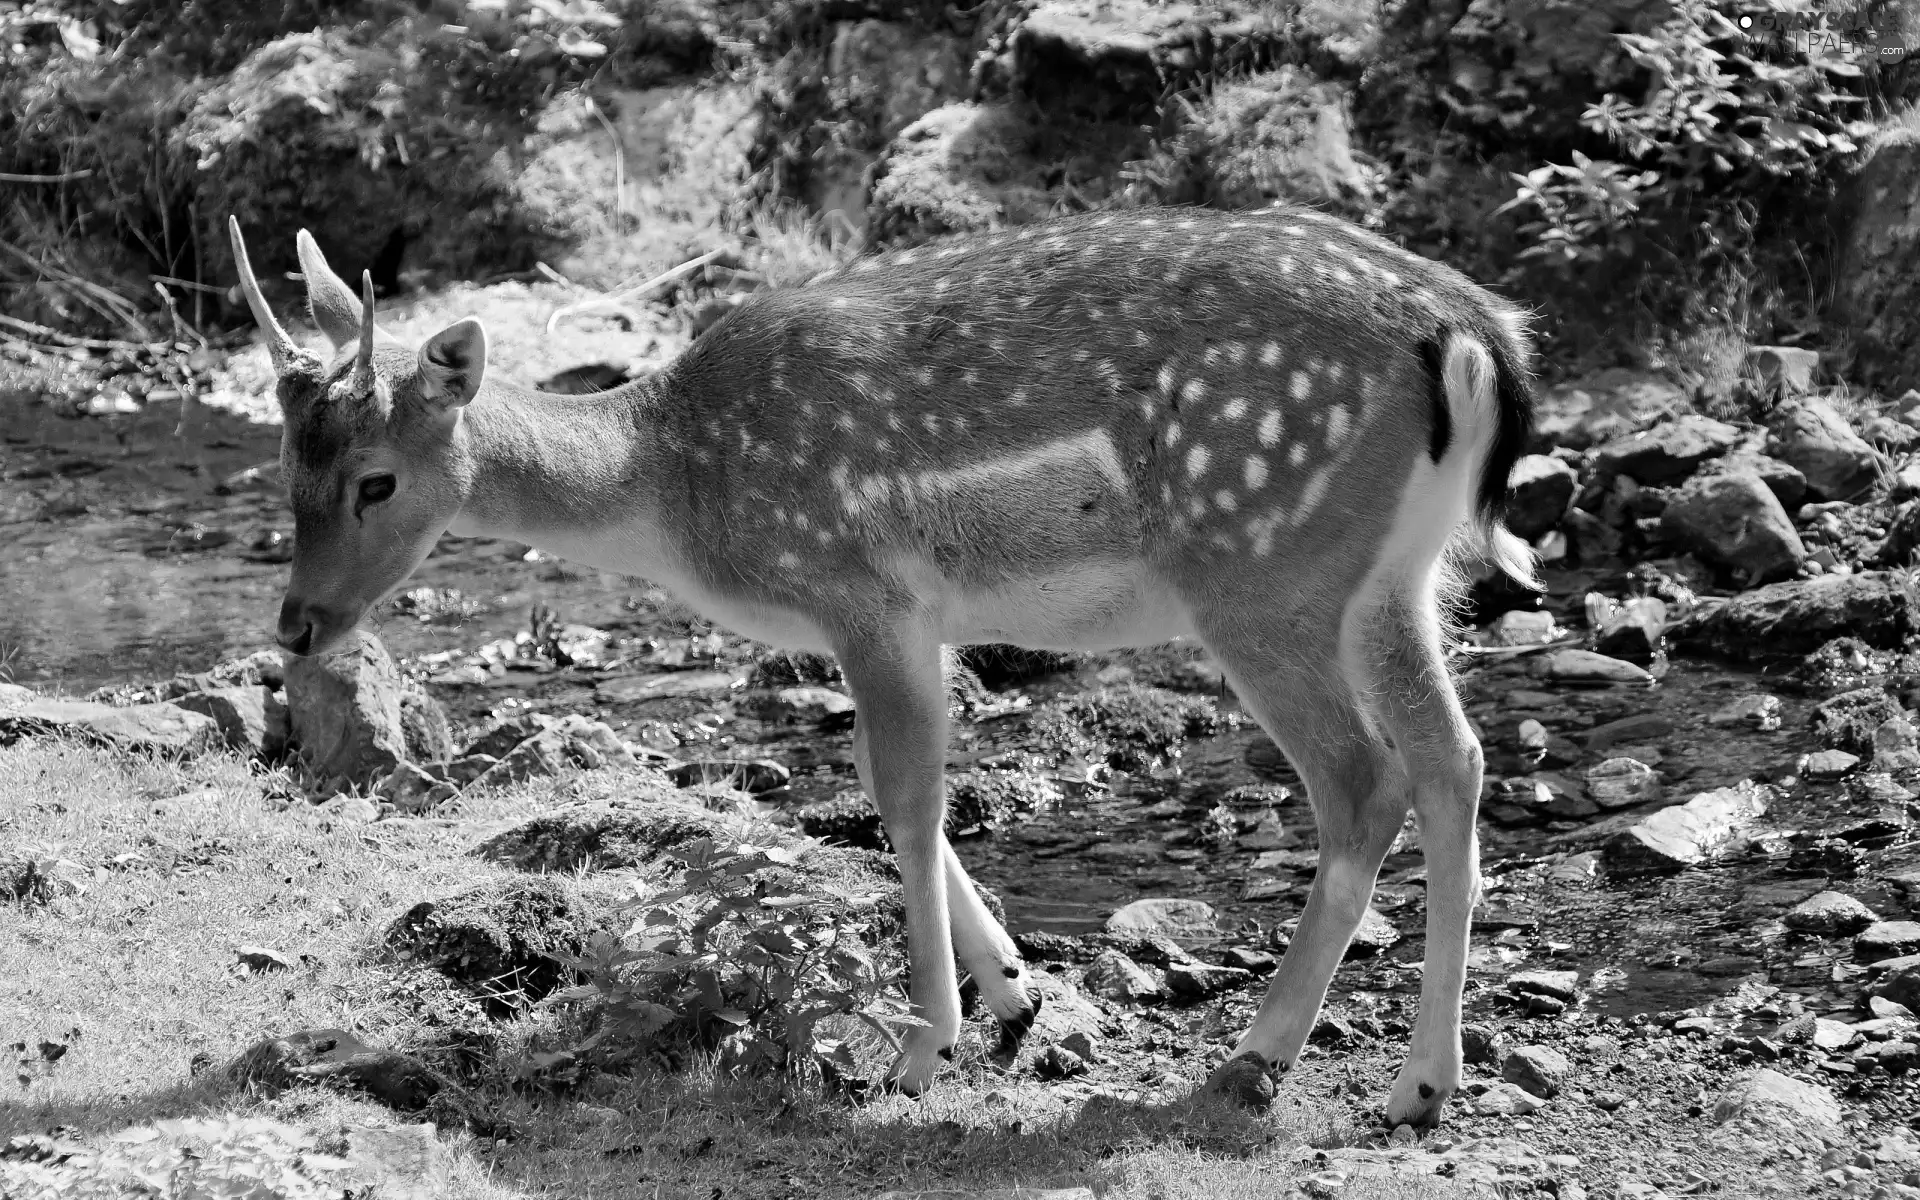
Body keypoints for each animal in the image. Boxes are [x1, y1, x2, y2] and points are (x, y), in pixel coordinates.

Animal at [228, 201, 1543, 1128]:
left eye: (377, 480)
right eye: (285, 465)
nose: (294, 627)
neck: (676, 490)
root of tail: (1477, 337)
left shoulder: (864, 591)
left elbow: (903, 803)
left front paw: (923, 1048)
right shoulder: (917, 619)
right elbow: (905, 801)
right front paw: (1012, 987)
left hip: (1263, 569)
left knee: (1364, 782)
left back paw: (1258, 1056)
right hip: (1394, 576)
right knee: (1455, 758)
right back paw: (1421, 1086)